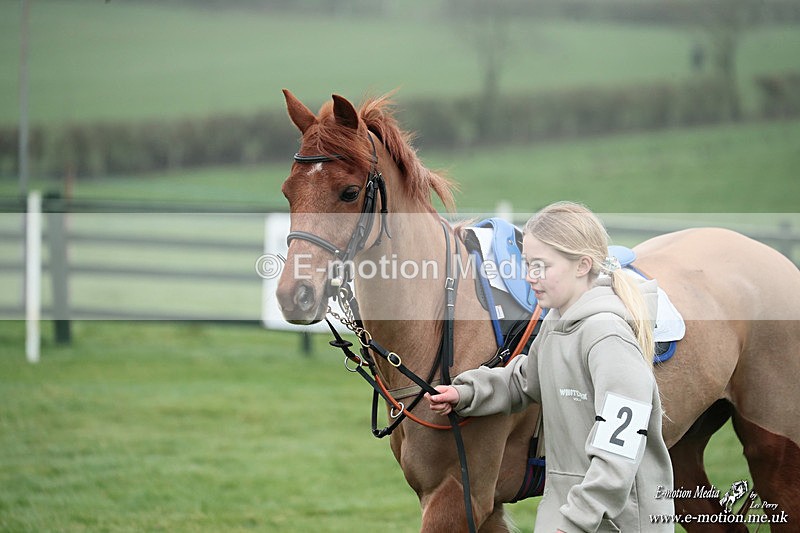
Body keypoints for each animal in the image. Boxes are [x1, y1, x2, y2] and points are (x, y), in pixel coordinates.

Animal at [275, 90, 800, 532]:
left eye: (348, 192)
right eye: (288, 192)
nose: (292, 294)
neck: (442, 321)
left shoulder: (459, 496)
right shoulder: (475, 505)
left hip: (775, 451)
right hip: (680, 449)